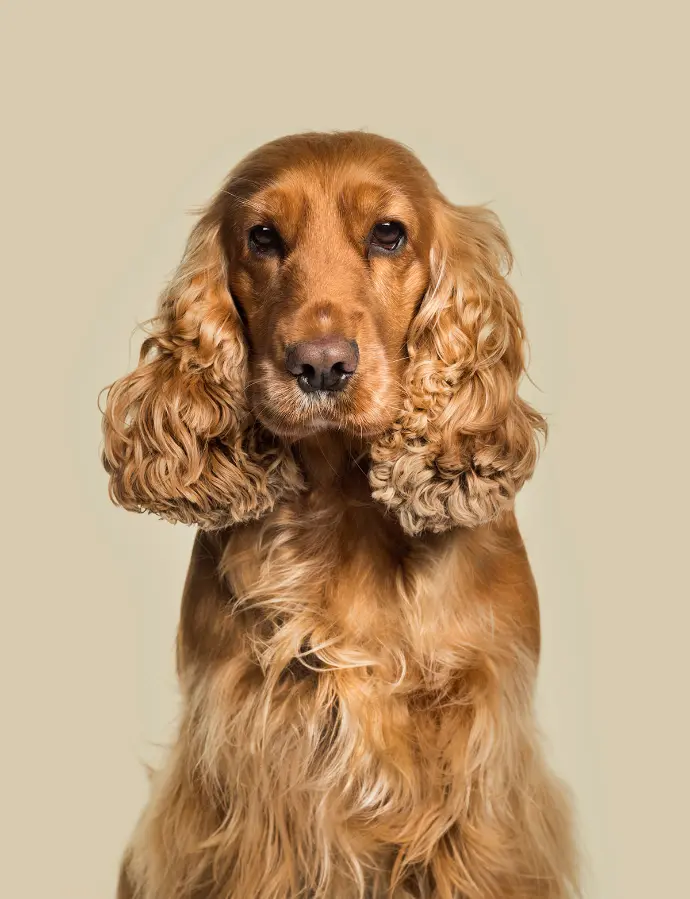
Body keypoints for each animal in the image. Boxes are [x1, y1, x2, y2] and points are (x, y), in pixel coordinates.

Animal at [103, 131, 578, 898]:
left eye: (389, 233)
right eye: (263, 237)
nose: (320, 365)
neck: (343, 503)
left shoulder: (482, 764)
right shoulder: (248, 760)